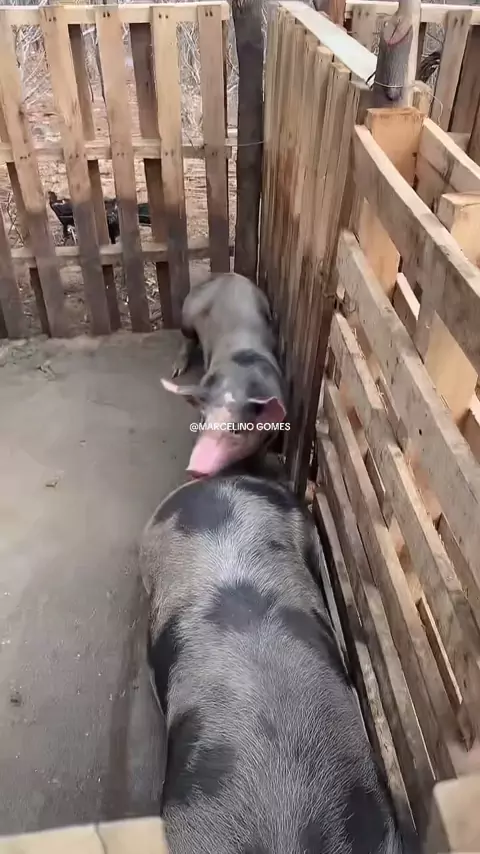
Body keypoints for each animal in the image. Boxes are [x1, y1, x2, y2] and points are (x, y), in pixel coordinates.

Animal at [161, 273, 286, 477]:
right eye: (203, 420)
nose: (194, 469)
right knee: (188, 338)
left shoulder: (272, 432)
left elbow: (258, 459)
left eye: (236, 430)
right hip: (187, 315)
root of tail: (230, 275)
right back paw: (176, 371)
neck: (237, 385)